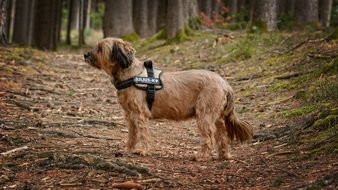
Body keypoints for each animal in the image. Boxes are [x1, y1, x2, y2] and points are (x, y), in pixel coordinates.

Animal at [84, 37, 254, 160]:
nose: (85, 54)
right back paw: (224, 155)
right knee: (222, 135)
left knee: (209, 136)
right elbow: (132, 135)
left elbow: (143, 134)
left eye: (100, 48)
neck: (130, 74)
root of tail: (225, 84)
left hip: (204, 114)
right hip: (216, 116)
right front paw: (128, 149)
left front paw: (142, 151)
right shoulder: (129, 115)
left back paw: (201, 156)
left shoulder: (140, 114)